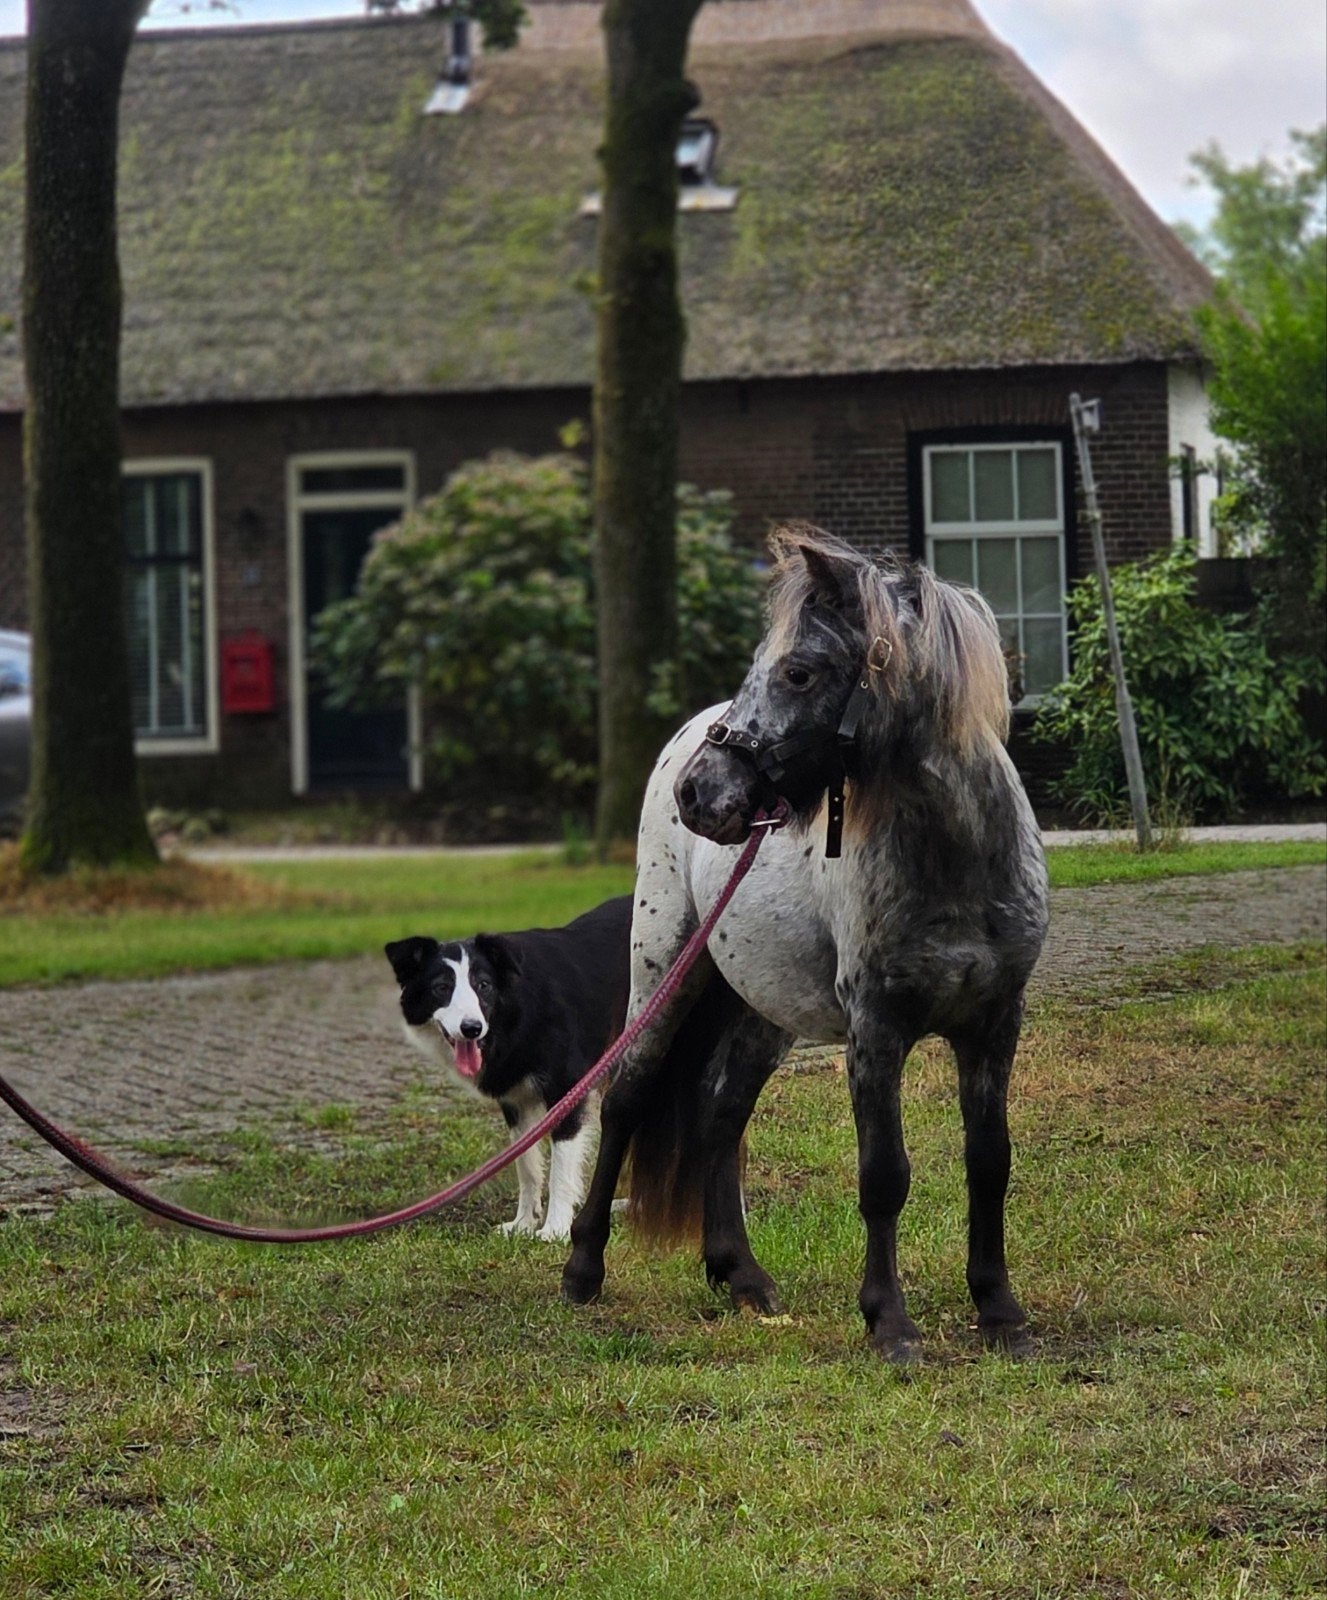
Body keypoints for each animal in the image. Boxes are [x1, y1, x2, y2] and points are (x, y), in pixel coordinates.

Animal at [561, 527, 1049, 1362]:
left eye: (798, 670)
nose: (699, 793)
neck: (956, 863)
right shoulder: (875, 1033)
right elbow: (883, 1175)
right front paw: (889, 1322)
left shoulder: (993, 1025)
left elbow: (989, 1161)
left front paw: (997, 1309)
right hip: (664, 970)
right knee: (625, 1096)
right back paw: (582, 1269)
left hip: (762, 1012)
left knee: (719, 1111)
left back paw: (740, 1274)